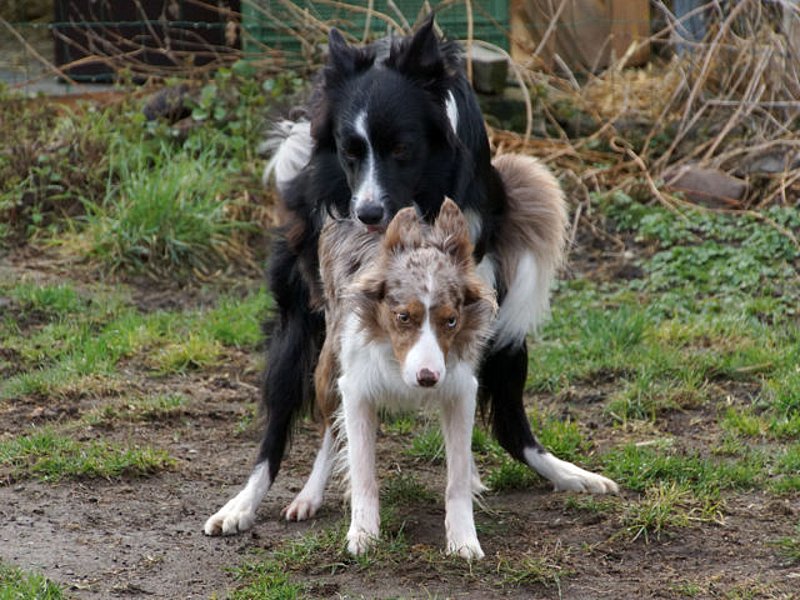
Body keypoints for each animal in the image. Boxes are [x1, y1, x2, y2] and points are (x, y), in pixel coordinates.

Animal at [204, 15, 617, 540]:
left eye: (402, 148)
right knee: (301, 421)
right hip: (303, 324)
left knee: (510, 424)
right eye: (349, 151)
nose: (366, 214)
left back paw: (563, 473)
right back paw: (252, 503)